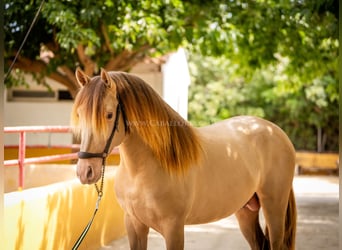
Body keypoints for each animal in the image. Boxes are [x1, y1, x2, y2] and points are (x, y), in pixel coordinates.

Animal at [71, 68, 296, 250]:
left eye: (109, 115)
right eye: (80, 114)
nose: (85, 171)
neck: (142, 171)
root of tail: (275, 131)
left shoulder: (174, 228)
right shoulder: (134, 224)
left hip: (274, 208)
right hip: (246, 211)